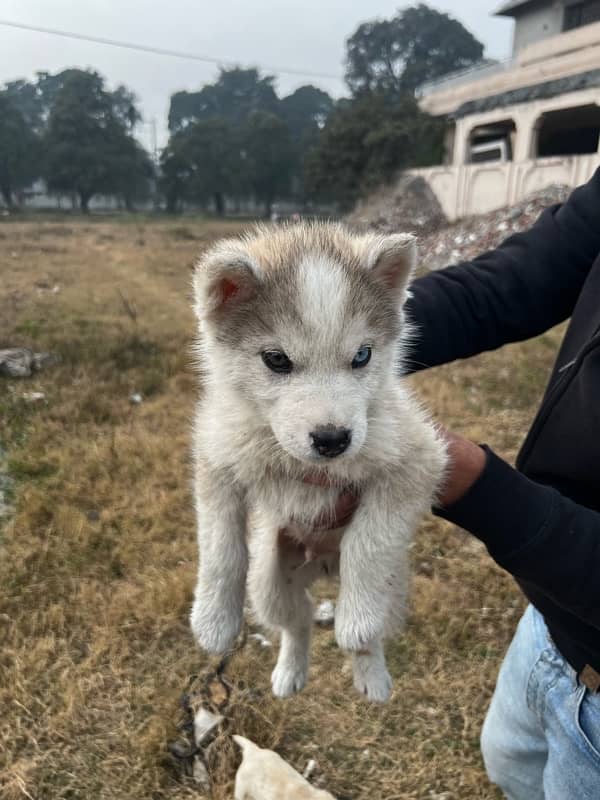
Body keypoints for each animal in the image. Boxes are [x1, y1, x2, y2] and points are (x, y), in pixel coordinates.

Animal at [190, 220, 448, 700]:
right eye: (276, 359)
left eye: (362, 355)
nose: (332, 439)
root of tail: (324, 567)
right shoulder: (217, 458)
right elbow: (220, 548)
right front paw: (213, 623)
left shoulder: (419, 459)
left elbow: (368, 542)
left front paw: (357, 623)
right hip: (269, 581)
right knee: (299, 621)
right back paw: (290, 672)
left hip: (394, 584)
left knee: (365, 629)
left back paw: (372, 676)